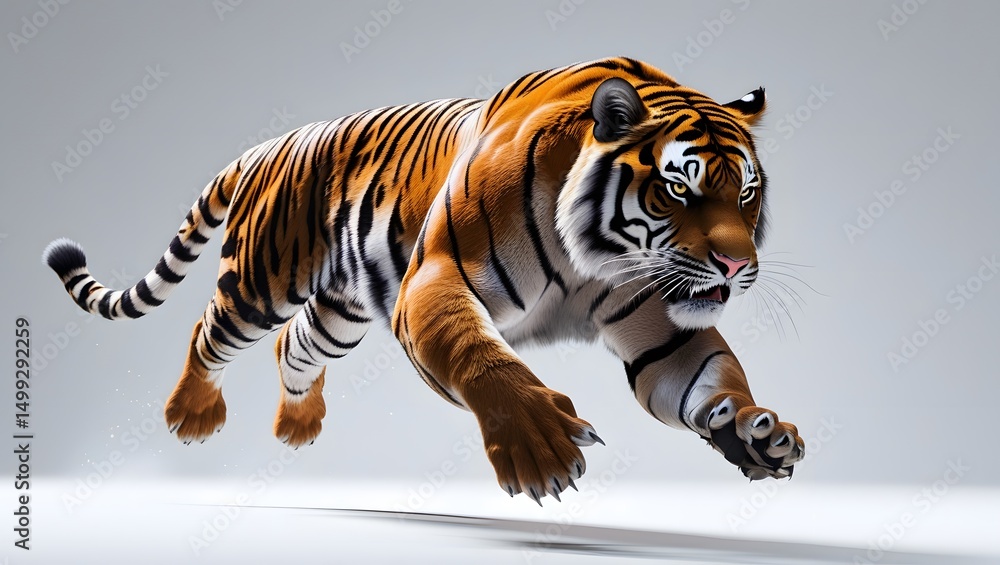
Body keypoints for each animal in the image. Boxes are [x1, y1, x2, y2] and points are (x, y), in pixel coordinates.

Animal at [43, 56, 804, 505]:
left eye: (746, 194)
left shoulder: (659, 325)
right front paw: (538, 449)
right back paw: (191, 414)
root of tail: (269, 145)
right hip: (263, 281)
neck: (598, 255)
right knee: (213, 330)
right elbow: (480, 354)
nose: (737, 266)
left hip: (340, 310)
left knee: (294, 344)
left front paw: (752, 432)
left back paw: (298, 424)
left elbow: (707, 375)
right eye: (679, 189)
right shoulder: (435, 277)